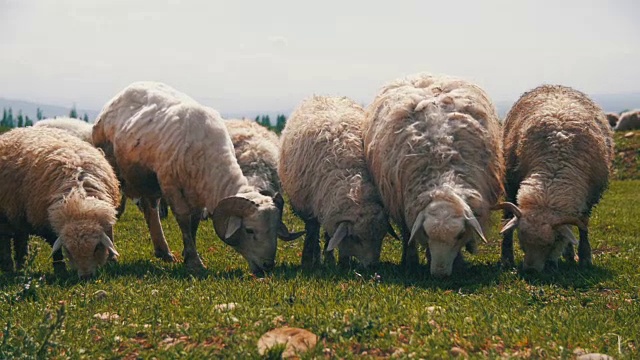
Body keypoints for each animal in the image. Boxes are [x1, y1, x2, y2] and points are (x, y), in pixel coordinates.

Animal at [0, 126, 121, 278]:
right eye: (68, 250)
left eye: (96, 247)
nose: (86, 277)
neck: (79, 206)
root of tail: (14, 130)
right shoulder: (46, 221)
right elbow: (55, 247)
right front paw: (60, 269)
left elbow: (110, 235)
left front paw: (112, 260)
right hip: (6, 214)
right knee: (5, 239)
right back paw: (9, 268)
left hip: (19, 214)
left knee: (20, 238)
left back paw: (22, 267)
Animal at [91, 81, 302, 272]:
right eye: (249, 230)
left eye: (275, 230)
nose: (268, 266)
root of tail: (119, 95)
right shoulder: (172, 187)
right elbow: (184, 221)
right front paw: (194, 262)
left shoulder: (199, 191)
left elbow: (194, 224)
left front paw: (188, 254)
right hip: (114, 171)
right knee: (114, 207)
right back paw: (112, 256)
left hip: (148, 181)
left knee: (151, 210)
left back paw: (163, 251)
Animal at [280, 95, 396, 268]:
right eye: (356, 238)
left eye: (381, 237)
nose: (372, 267)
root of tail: (323, 95)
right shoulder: (308, 206)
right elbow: (312, 231)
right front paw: (310, 260)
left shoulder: (332, 211)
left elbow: (331, 236)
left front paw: (336, 260)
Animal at [362, 72, 502, 276]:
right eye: (427, 233)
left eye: (460, 235)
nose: (439, 274)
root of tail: (423, 76)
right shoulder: (403, 206)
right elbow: (408, 235)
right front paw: (411, 260)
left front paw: (458, 262)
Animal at [500, 83, 616, 270]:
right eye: (522, 242)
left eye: (551, 243)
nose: (530, 271)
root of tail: (553, 85)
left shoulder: (589, 199)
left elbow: (582, 227)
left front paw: (584, 257)